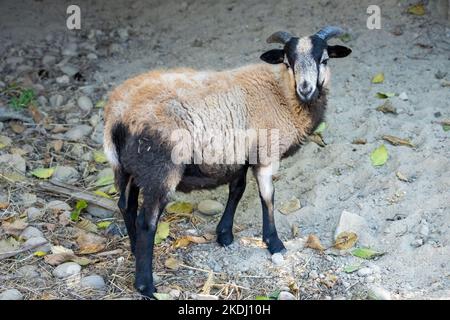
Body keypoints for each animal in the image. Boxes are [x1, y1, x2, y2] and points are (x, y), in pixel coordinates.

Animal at [103, 25, 352, 298]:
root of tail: (119, 115)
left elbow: (237, 190)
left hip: (127, 168)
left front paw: (224, 235)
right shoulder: (265, 154)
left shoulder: (239, 154)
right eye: (288, 62)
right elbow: (268, 197)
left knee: (125, 205)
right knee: (146, 222)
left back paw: (134, 249)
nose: (306, 89)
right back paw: (146, 285)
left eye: (324, 60)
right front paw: (274, 243)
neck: (282, 93)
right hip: (160, 170)